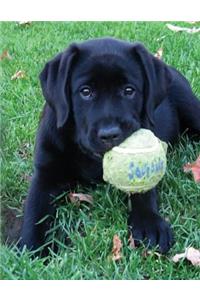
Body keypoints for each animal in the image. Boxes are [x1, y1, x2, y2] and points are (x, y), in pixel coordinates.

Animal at [19, 37, 200, 253]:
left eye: (129, 90)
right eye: (86, 92)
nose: (109, 134)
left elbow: (144, 190)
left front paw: (149, 223)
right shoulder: (45, 173)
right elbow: (35, 210)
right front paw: (33, 247)